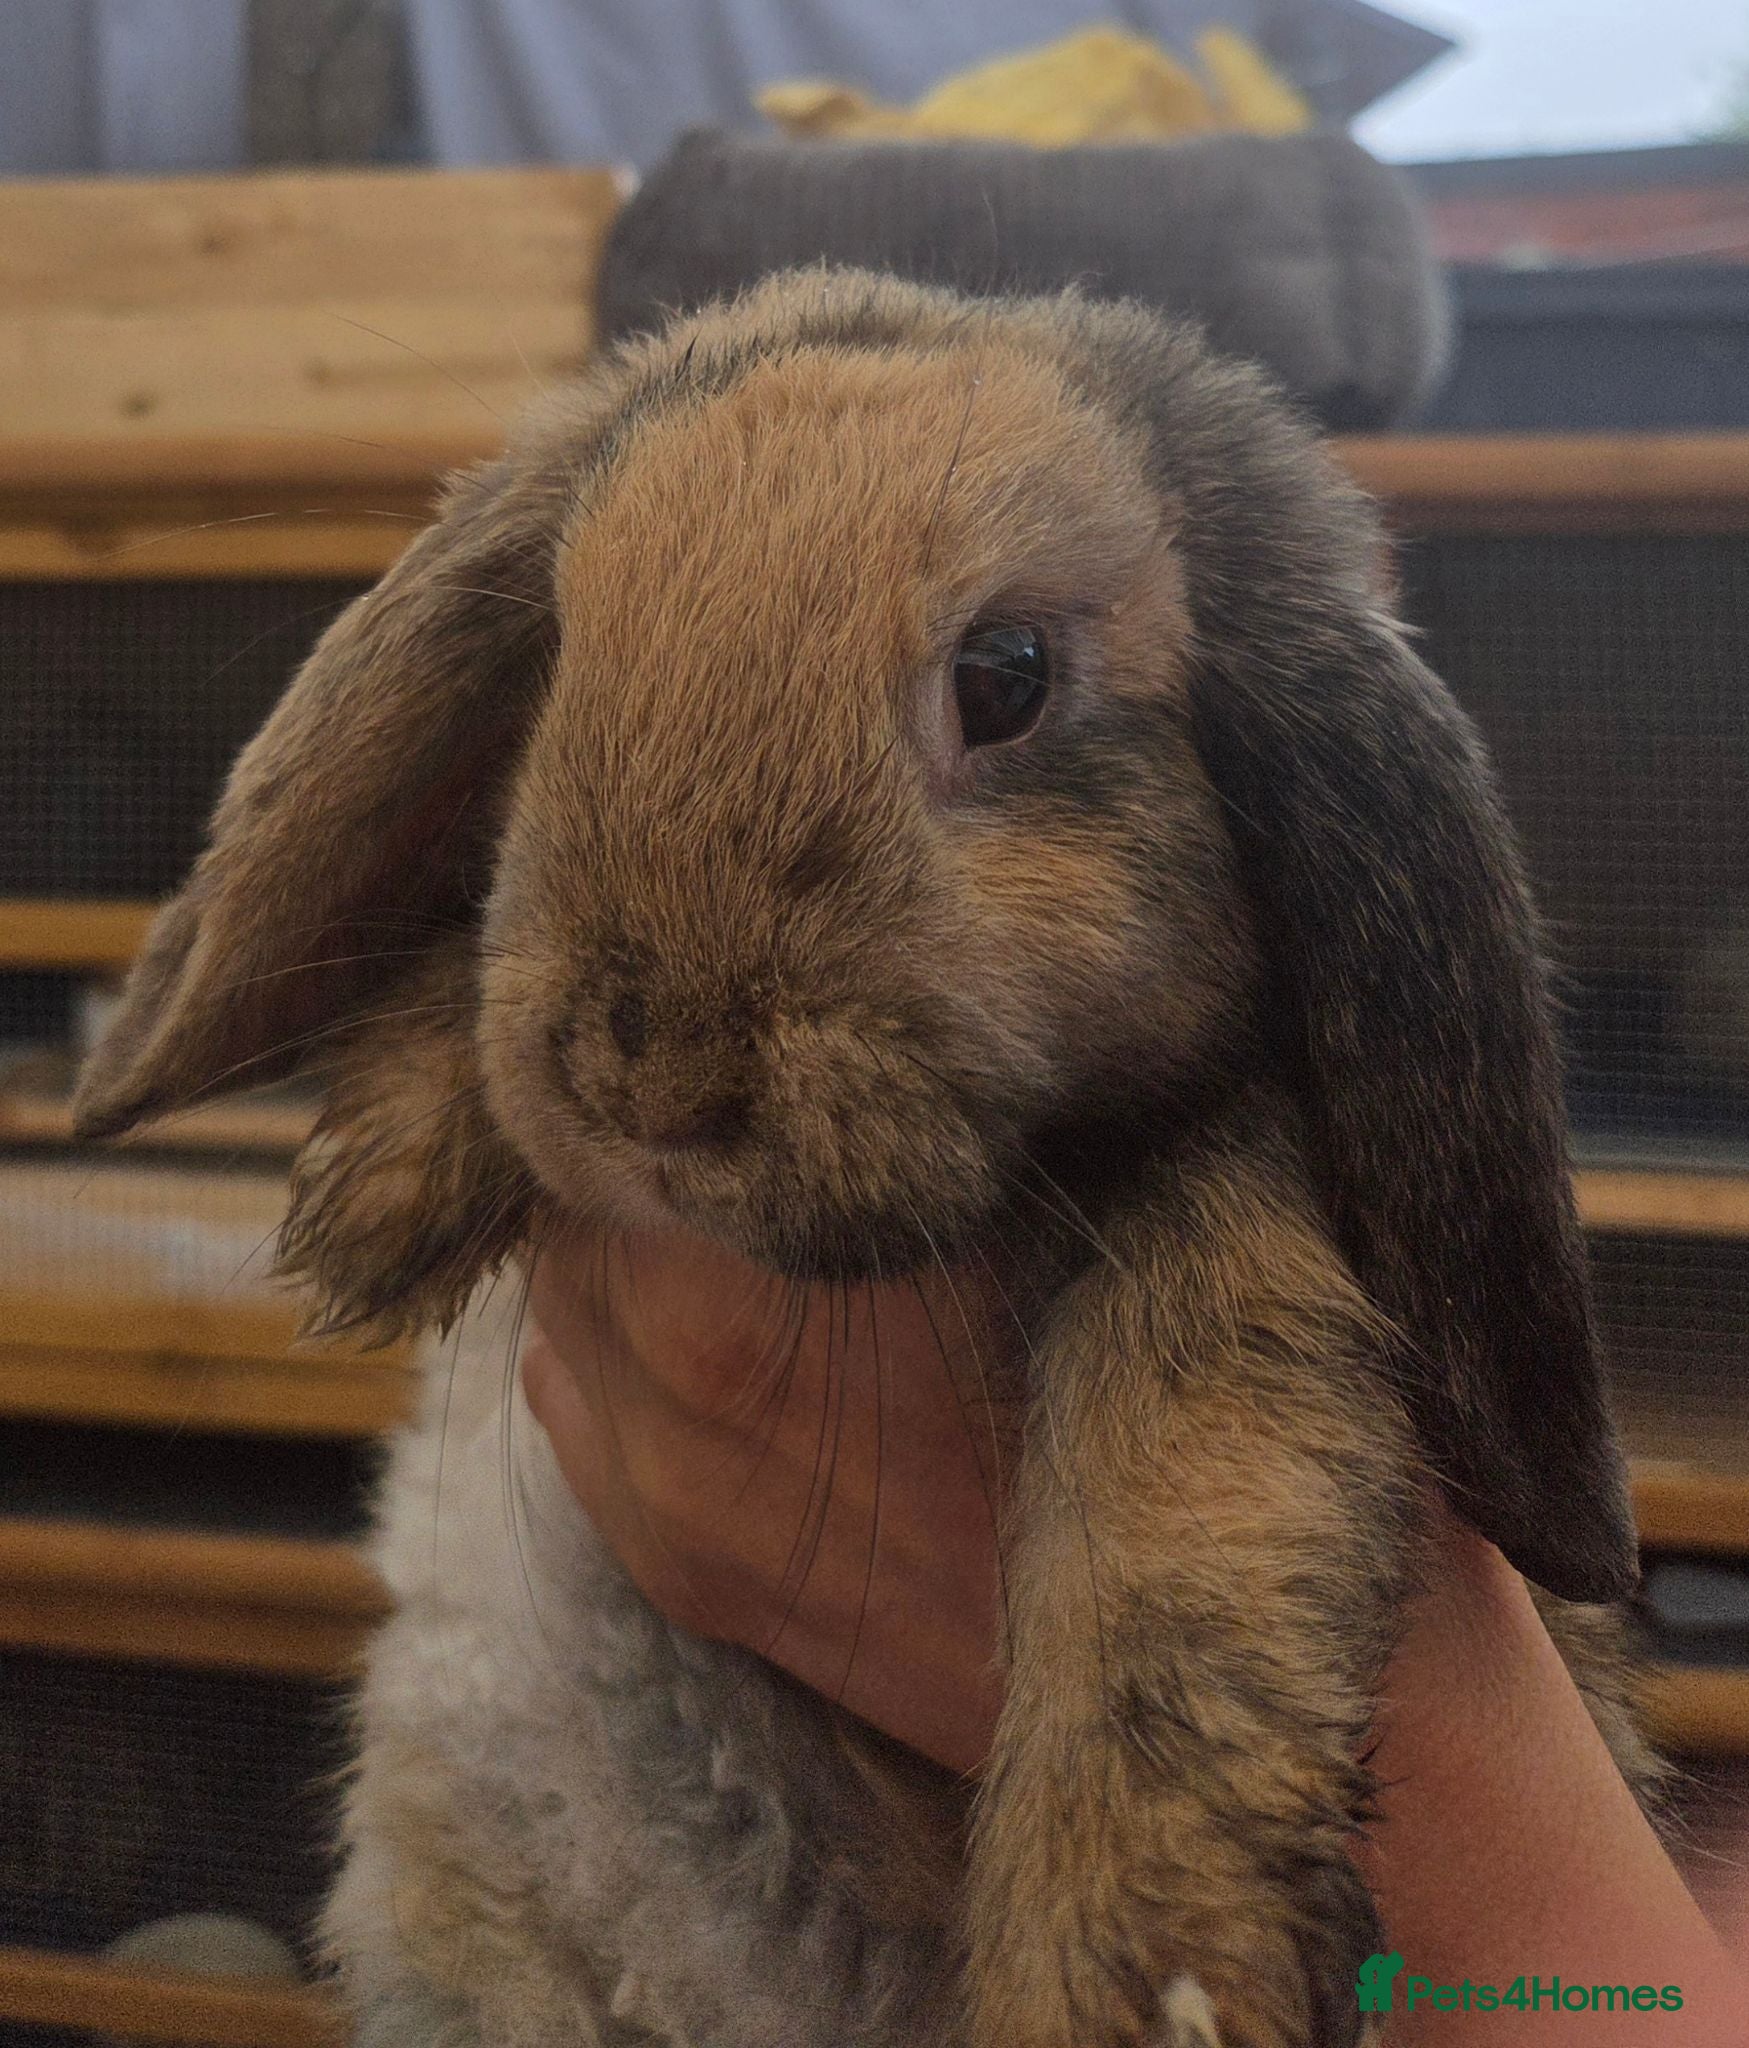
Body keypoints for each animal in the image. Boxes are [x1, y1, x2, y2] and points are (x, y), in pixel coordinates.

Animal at [75, 268, 1660, 2048]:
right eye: (562, 654)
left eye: (1010, 673)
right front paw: (388, 1172)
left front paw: (1144, 1948)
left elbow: (1191, 1467)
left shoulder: (1248, 1199)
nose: (652, 1079)